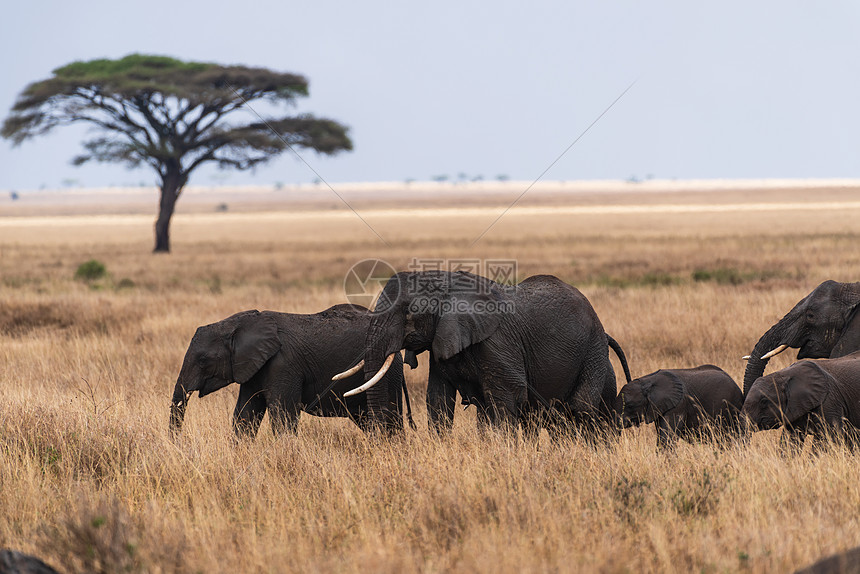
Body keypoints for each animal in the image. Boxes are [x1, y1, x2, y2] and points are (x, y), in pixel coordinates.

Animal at [170, 308, 414, 438]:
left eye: (203, 360)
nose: (179, 442)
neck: (241, 323)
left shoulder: (283, 365)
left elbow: (282, 416)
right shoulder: (253, 367)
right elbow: (245, 414)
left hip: (386, 375)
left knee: (389, 419)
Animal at [334, 272, 632, 438]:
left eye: (409, 313)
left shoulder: (498, 341)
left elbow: (507, 396)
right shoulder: (443, 339)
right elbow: (438, 398)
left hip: (593, 349)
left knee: (580, 407)